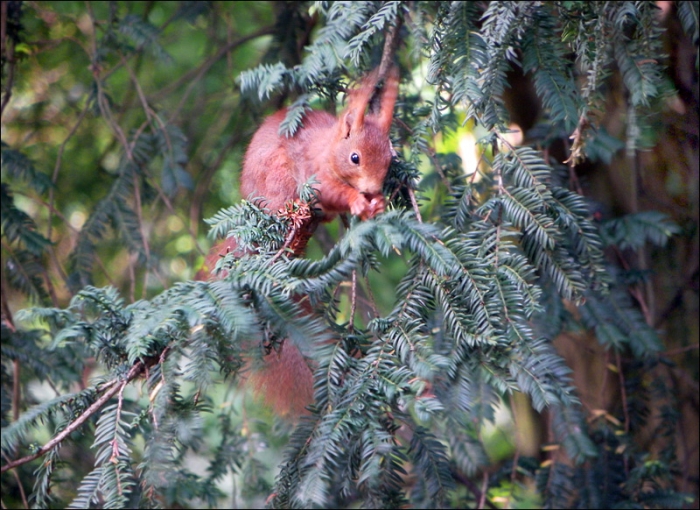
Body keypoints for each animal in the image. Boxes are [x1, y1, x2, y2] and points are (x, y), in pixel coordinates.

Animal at [205, 67, 399, 416]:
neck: (329, 149)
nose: (373, 189)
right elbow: (335, 193)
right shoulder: (316, 175)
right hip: (280, 181)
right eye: (355, 157)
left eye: (389, 159)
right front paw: (358, 201)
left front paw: (376, 204)